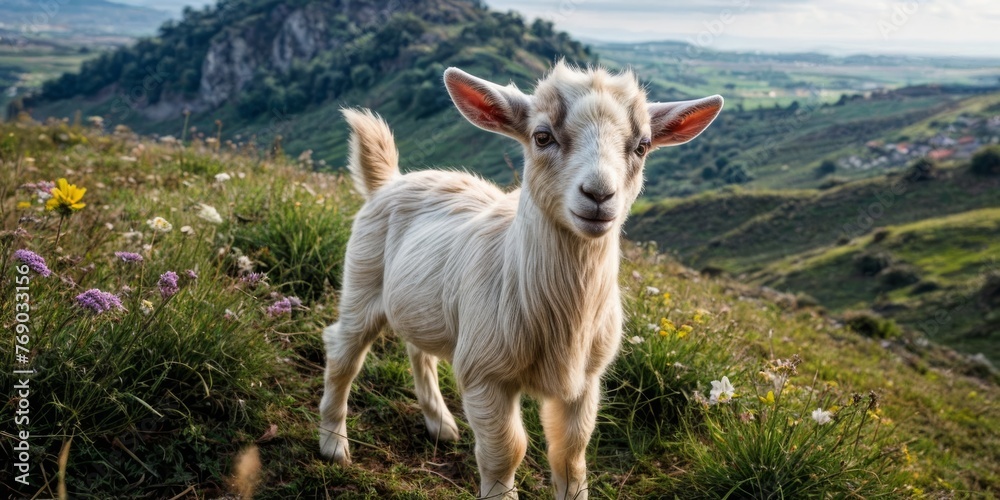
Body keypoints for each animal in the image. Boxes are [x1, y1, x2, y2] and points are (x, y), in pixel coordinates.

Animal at [318, 61, 723, 499]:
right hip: (361, 282)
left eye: (643, 146)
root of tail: (390, 181)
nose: (599, 195)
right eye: (542, 136)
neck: (563, 317)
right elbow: (506, 452)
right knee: (342, 353)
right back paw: (333, 444)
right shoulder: (486, 373)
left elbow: (571, 454)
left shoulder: (585, 381)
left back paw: (440, 423)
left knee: (418, 350)